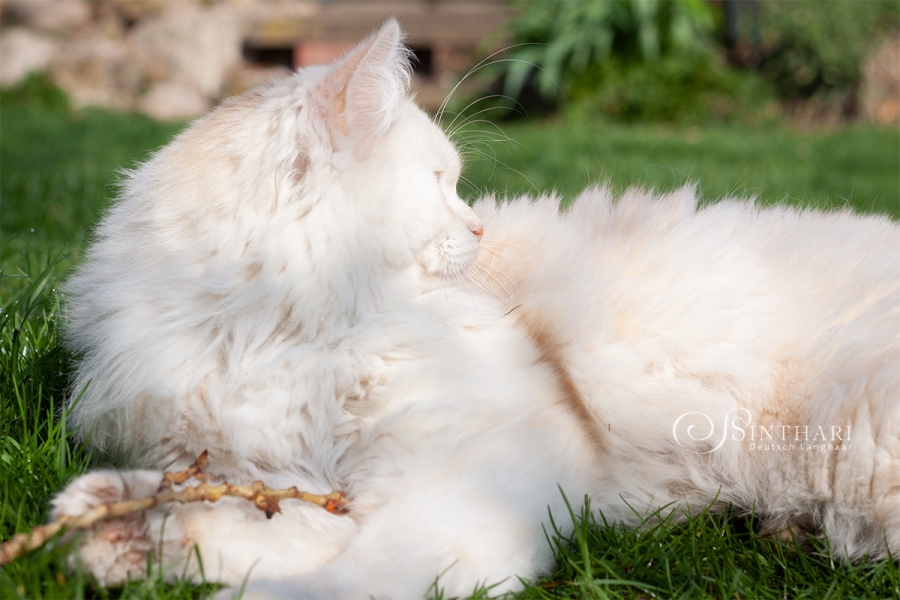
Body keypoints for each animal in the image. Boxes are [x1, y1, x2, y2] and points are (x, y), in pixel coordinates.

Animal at [56, 17, 900, 596]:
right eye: (440, 182)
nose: (478, 229)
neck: (275, 331)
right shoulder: (277, 473)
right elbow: (259, 528)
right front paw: (119, 529)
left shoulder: (457, 473)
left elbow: (360, 574)